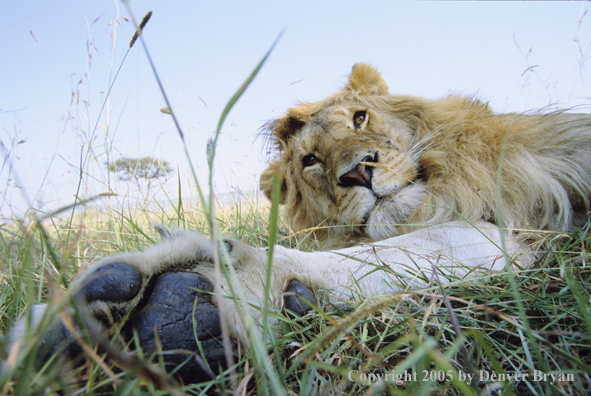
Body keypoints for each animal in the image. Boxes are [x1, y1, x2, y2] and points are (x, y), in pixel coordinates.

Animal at [4, 63, 591, 386]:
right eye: (311, 160)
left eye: (360, 117)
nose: (359, 170)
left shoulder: (517, 228)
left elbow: (394, 250)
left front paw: (175, 303)